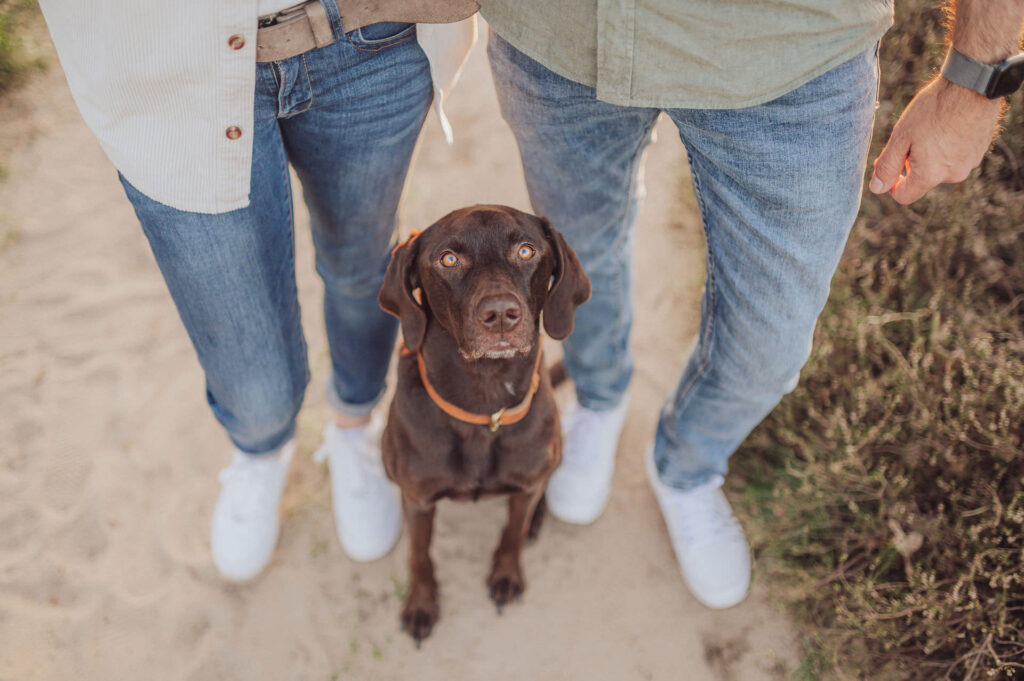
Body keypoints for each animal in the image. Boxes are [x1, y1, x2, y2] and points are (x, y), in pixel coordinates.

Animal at [376, 201, 589, 643]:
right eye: (448, 259)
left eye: (526, 251)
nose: (502, 314)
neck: (483, 401)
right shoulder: (418, 500)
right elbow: (419, 555)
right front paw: (421, 603)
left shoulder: (524, 486)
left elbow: (511, 532)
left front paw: (507, 574)